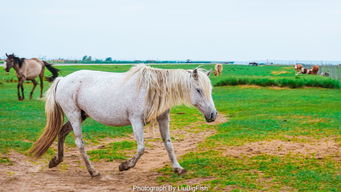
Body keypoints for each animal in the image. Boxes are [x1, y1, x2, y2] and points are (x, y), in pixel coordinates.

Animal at [29, 64, 215, 177]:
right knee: (79, 143)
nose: (213, 115)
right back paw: (93, 171)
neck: (151, 89)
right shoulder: (136, 120)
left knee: (61, 133)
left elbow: (168, 144)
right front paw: (124, 165)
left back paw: (56, 161)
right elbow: (141, 148)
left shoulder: (163, 118)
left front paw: (178, 168)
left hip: (81, 115)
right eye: (198, 90)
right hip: (74, 115)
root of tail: (62, 80)